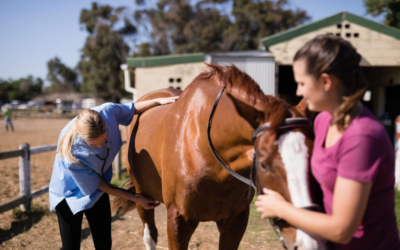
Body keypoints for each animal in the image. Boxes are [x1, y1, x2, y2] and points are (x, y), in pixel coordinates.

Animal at [112, 64, 324, 250]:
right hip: (143, 197)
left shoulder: (235, 221)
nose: (308, 241)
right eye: (264, 165)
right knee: (150, 236)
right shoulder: (177, 219)